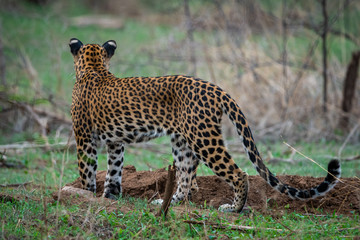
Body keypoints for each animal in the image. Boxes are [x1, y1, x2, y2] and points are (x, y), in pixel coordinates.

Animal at [69, 38, 340, 213]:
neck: (93, 67)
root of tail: (216, 88)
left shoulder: (84, 138)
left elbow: (87, 171)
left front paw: (86, 195)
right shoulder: (115, 143)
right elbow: (114, 170)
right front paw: (109, 197)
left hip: (204, 139)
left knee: (238, 173)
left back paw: (233, 208)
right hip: (182, 141)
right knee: (186, 174)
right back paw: (171, 203)